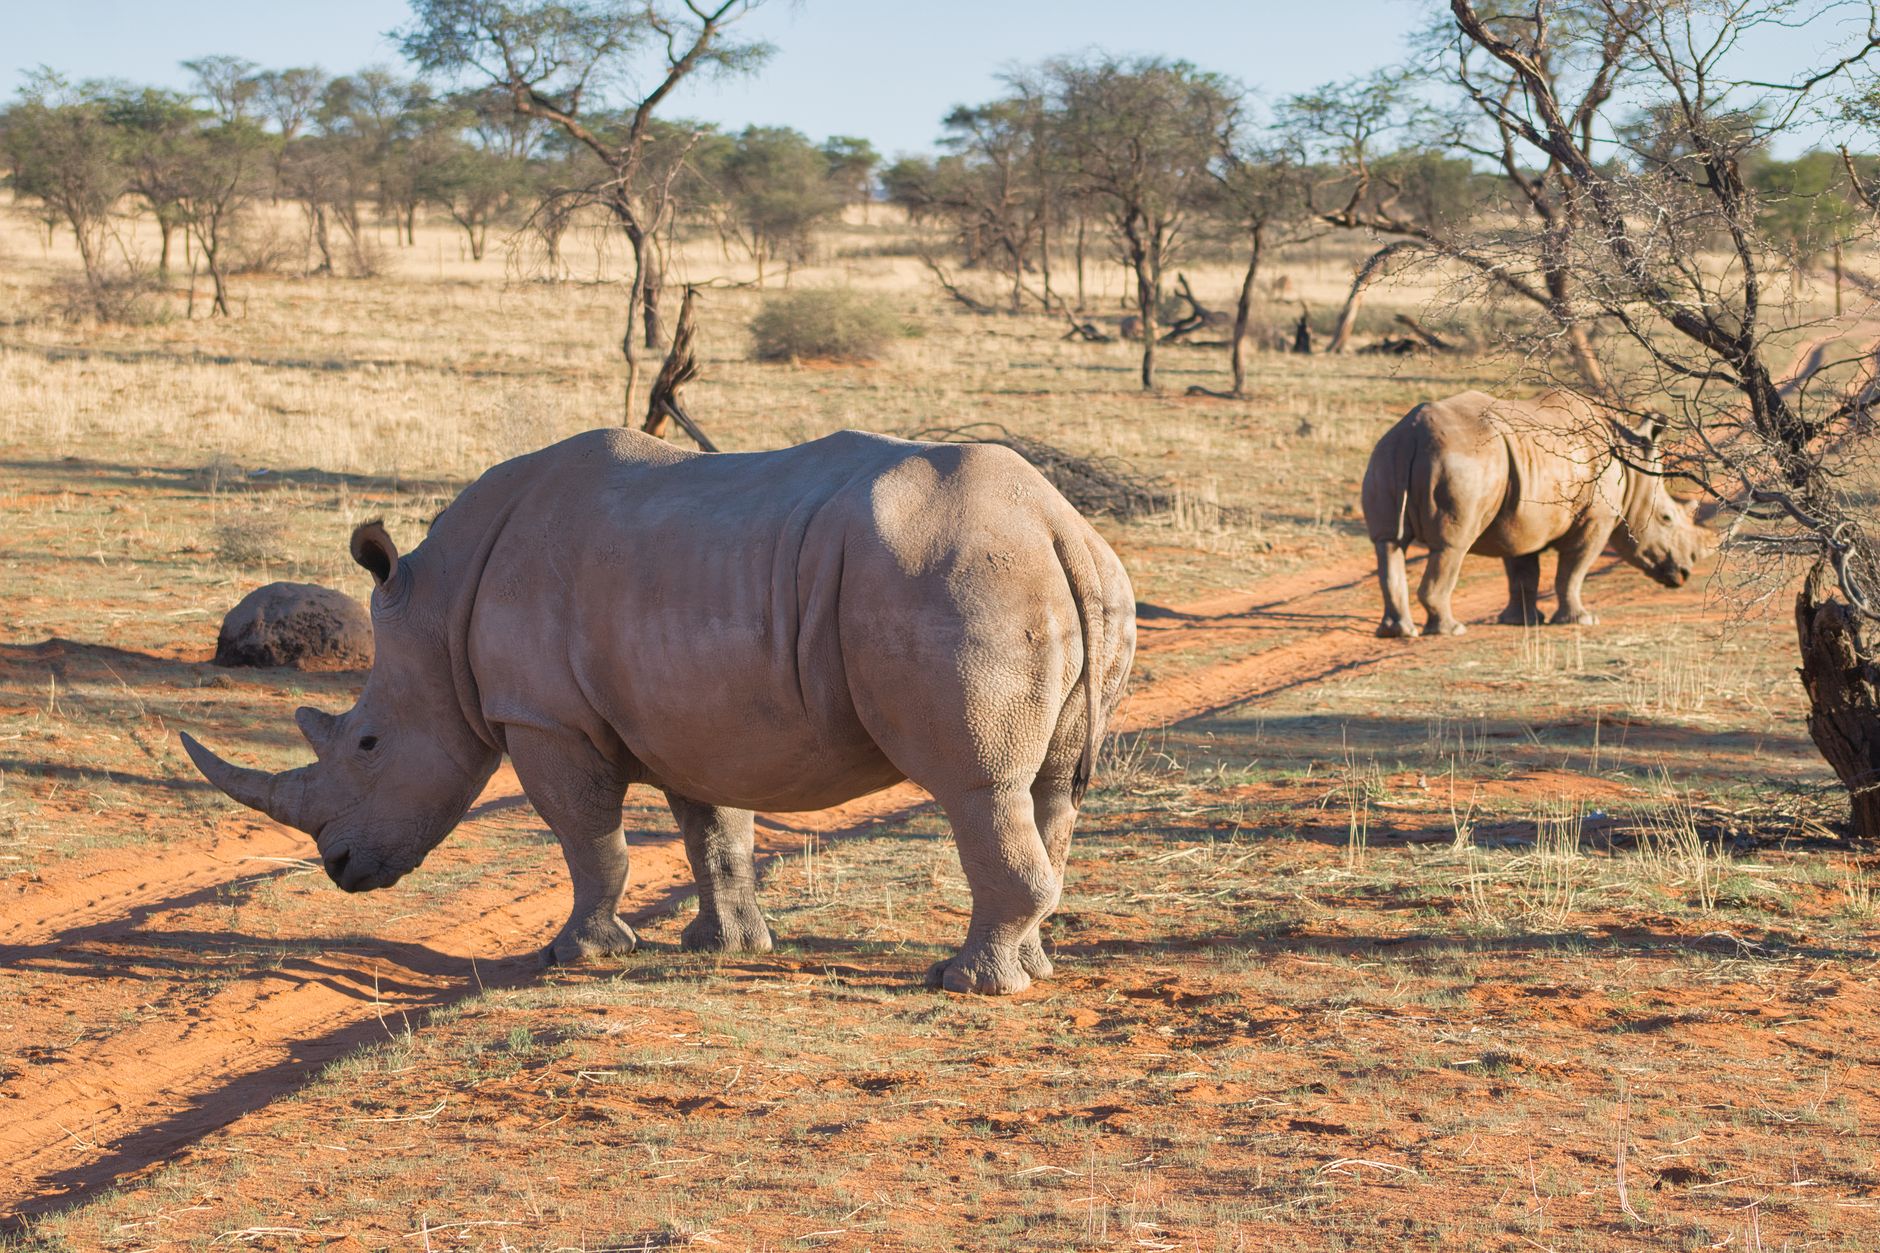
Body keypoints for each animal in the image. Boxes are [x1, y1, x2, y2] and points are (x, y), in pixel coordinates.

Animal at [182, 429, 1136, 996]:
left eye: (368, 743)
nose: (341, 868)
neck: (438, 607)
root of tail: (1057, 523)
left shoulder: (544, 717)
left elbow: (588, 839)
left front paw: (579, 954)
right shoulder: (696, 712)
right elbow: (714, 835)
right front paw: (722, 948)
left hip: (960, 580)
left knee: (978, 787)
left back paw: (966, 982)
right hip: (1072, 575)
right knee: (1051, 791)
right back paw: (1031, 963)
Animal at [1361, 390, 1707, 638]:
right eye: (1666, 518)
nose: (1684, 573)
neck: (1631, 467)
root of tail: (1413, 435)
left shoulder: (1521, 518)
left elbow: (1523, 572)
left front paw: (1522, 622)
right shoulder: (1596, 521)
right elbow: (1572, 572)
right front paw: (1581, 621)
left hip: (1385, 454)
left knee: (1387, 543)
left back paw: (1397, 632)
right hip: (1462, 461)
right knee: (1451, 547)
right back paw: (1452, 630)